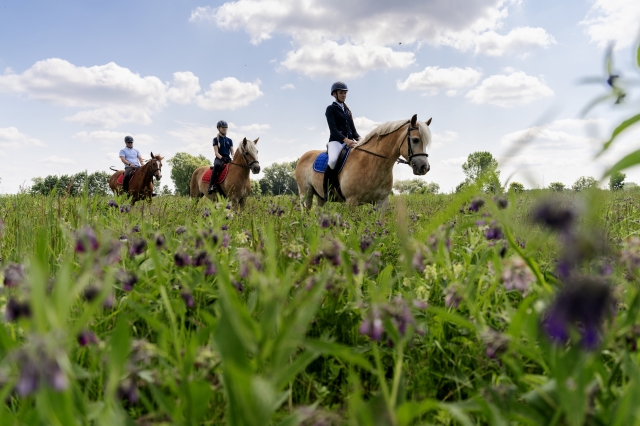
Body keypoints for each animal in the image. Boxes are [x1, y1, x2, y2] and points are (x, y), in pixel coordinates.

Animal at [296, 114, 430, 211]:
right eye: (415, 140)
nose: (425, 167)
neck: (372, 163)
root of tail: (303, 156)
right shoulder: (351, 202)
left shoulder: (382, 202)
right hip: (306, 194)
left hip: (321, 197)